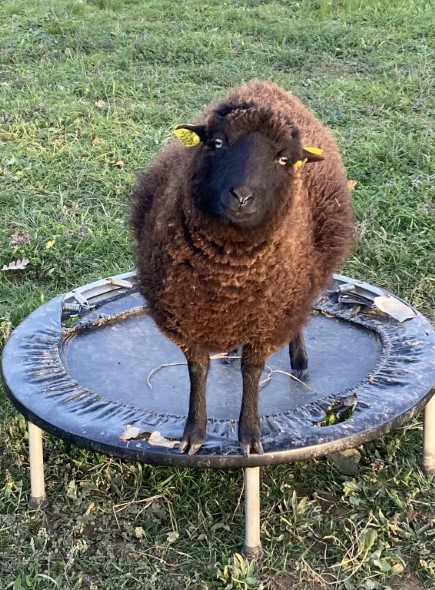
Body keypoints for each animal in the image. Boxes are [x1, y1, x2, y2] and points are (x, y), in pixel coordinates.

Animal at [132, 80, 354, 458]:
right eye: (217, 143)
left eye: (284, 158)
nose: (242, 197)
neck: (228, 274)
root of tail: (264, 86)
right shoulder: (186, 314)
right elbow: (198, 369)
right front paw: (194, 433)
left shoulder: (268, 318)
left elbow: (252, 372)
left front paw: (249, 434)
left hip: (297, 287)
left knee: (298, 319)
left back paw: (299, 359)